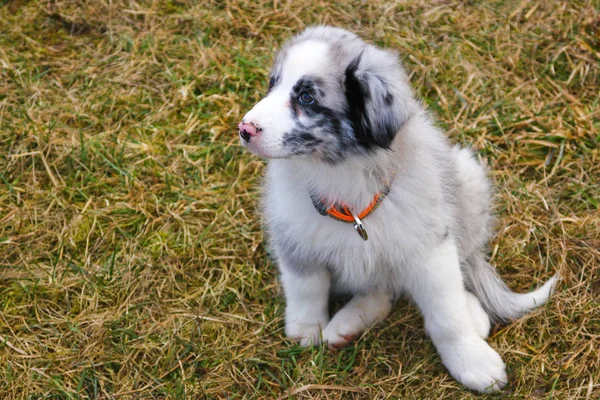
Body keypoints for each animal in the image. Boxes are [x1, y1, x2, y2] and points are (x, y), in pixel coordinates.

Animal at [237, 25, 556, 394]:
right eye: (272, 83)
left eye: (307, 98)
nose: (244, 129)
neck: (341, 176)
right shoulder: (294, 234)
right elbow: (305, 287)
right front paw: (305, 329)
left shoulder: (430, 246)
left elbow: (447, 313)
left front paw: (472, 361)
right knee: (382, 291)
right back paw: (347, 324)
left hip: (466, 179)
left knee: (458, 266)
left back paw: (470, 314)